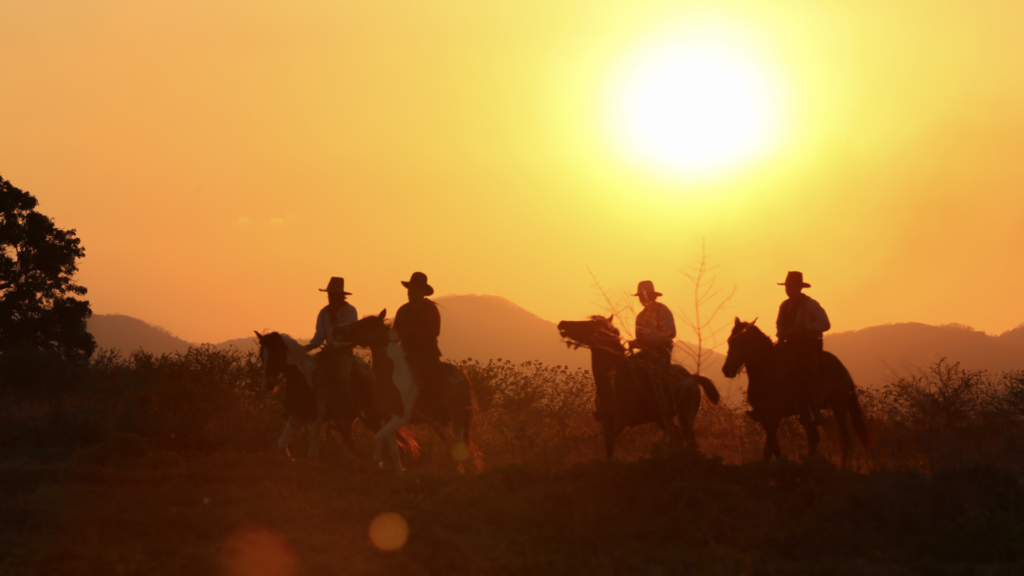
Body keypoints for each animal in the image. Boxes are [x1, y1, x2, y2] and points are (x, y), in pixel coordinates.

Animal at [253, 330, 417, 459]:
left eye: (276, 354)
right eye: (261, 355)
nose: (268, 385)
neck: (305, 382)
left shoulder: (316, 420)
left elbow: (311, 454)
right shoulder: (297, 416)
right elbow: (281, 443)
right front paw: (291, 460)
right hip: (347, 418)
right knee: (350, 442)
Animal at [557, 311, 724, 455]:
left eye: (588, 324)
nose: (562, 323)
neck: (613, 378)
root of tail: (692, 378)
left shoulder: (616, 425)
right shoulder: (606, 425)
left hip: (686, 417)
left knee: (689, 440)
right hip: (663, 419)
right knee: (678, 436)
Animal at [720, 317, 872, 467]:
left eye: (742, 341)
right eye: (729, 340)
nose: (727, 370)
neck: (768, 373)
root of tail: (841, 366)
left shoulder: (774, 416)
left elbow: (770, 448)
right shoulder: (764, 417)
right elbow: (771, 449)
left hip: (839, 405)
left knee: (844, 440)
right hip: (807, 415)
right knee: (814, 439)